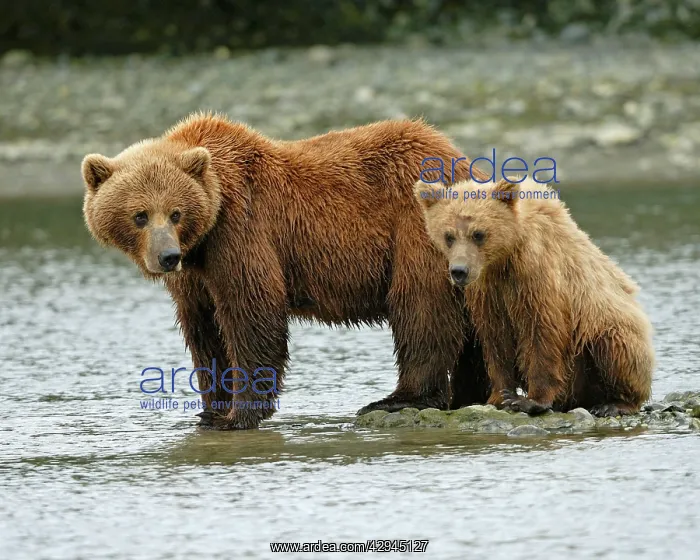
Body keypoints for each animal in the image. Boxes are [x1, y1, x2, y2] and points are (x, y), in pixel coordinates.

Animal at [81, 112, 491, 429]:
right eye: (140, 215)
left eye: (176, 212)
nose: (167, 256)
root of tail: (458, 156)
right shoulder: (195, 273)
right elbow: (203, 329)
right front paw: (211, 410)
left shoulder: (241, 230)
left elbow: (252, 311)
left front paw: (239, 415)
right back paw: (470, 395)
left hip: (416, 228)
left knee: (421, 306)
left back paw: (399, 399)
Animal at [413, 176, 654, 416]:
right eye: (449, 236)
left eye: (478, 234)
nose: (459, 271)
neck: (504, 259)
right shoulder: (488, 292)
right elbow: (495, 340)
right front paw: (499, 396)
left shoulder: (537, 275)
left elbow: (542, 332)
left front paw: (530, 400)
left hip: (608, 325)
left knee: (615, 345)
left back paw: (615, 403)